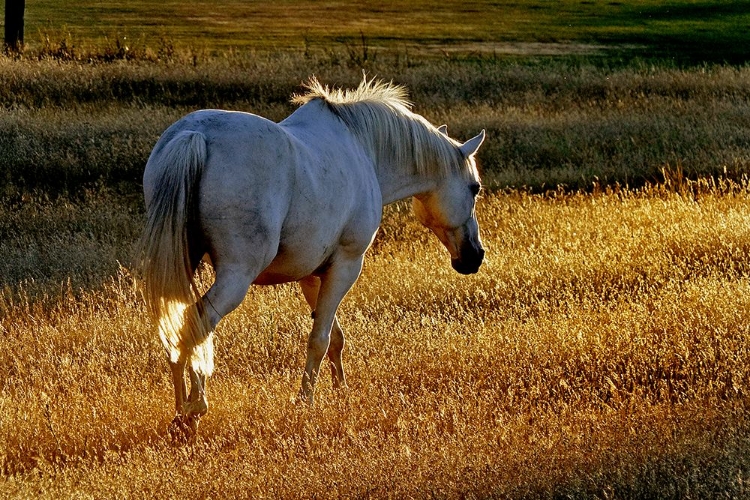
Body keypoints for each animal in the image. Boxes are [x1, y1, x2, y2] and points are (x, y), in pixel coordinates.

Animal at [140, 75, 488, 438]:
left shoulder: (312, 274)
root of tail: (194, 136)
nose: (475, 256)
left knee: (176, 328)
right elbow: (320, 339)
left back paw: (179, 410)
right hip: (236, 276)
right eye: (474, 188)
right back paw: (194, 409)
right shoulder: (346, 266)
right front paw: (305, 400)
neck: (361, 147)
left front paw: (340, 391)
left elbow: (334, 337)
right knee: (198, 321)